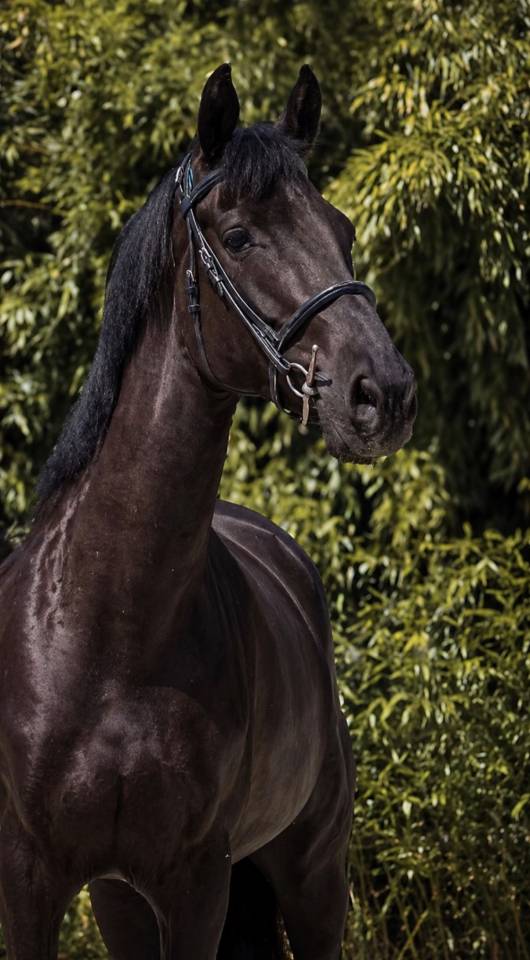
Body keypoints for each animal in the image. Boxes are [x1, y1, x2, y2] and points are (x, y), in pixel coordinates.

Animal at [0, 64, 416, 959]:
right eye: (238, 236)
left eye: (342, 228)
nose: (385, 393)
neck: (108, 630)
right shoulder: (33, 877)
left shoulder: (195, 881)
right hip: (121, 899)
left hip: (313, 873)